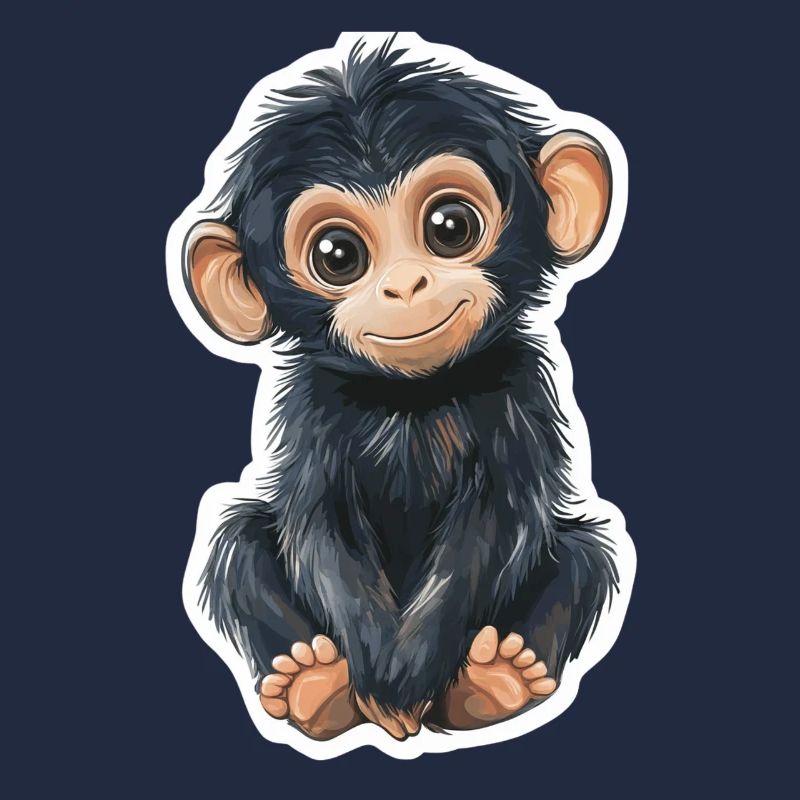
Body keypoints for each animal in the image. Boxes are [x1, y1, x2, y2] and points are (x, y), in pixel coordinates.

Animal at [181, 38, 622, 742]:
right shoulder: (312, 412)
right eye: (338, 255)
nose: (405, 285)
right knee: (241, 541)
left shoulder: (518, 394)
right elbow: (318, 525)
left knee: (584, 556)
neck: (410, 399)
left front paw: (407, 672)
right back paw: (315, 684)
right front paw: (379, 676)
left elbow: (495, 525)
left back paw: (496, 682)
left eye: (450, 226)